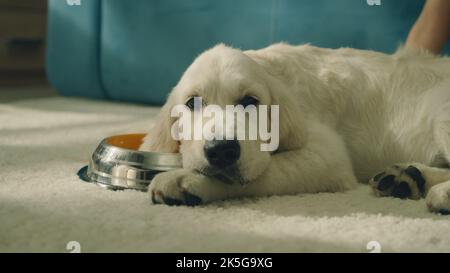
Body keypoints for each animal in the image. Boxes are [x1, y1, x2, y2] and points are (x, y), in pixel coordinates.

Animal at [141, 42, 450, 212]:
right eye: (192, 102)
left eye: (250, 101)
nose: (221, 150)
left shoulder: (329, 155)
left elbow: (267, 172)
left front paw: (185, 180)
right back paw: (408, 177)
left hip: (442, 115)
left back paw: (438, 192)